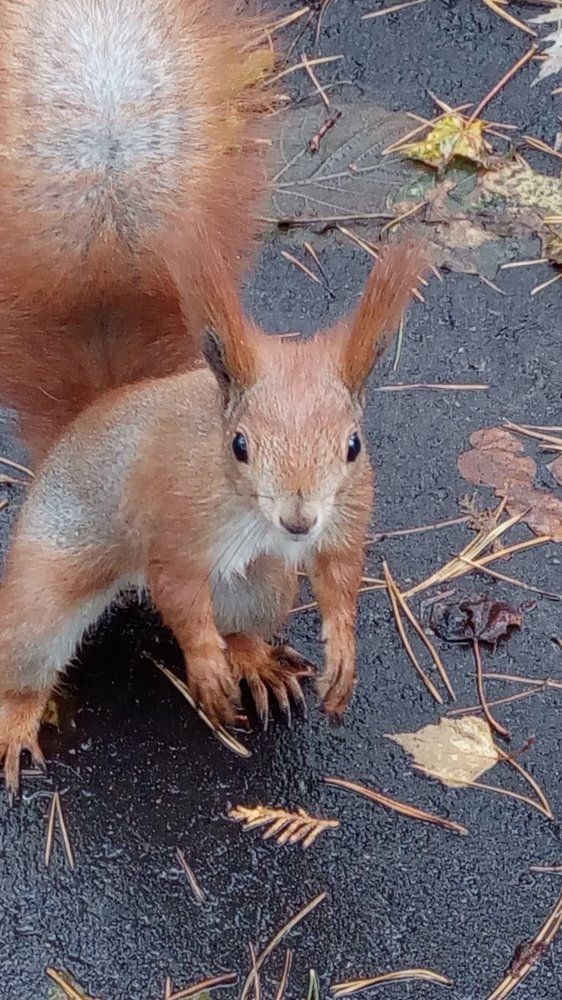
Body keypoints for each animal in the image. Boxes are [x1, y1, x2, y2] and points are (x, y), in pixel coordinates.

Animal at [0, 0, 427, 793]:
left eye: (353, 445)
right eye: (239, 445)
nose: (297, 518)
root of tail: (94, 413)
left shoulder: (348, 514)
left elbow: (341, 572)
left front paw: (343, 649)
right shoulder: (170, 520)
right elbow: (179, 594)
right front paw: (201, 665)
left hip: (262, 583)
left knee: (244, 617)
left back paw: (256, 660)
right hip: (49, 578)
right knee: (31, 647)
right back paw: (18, 717)